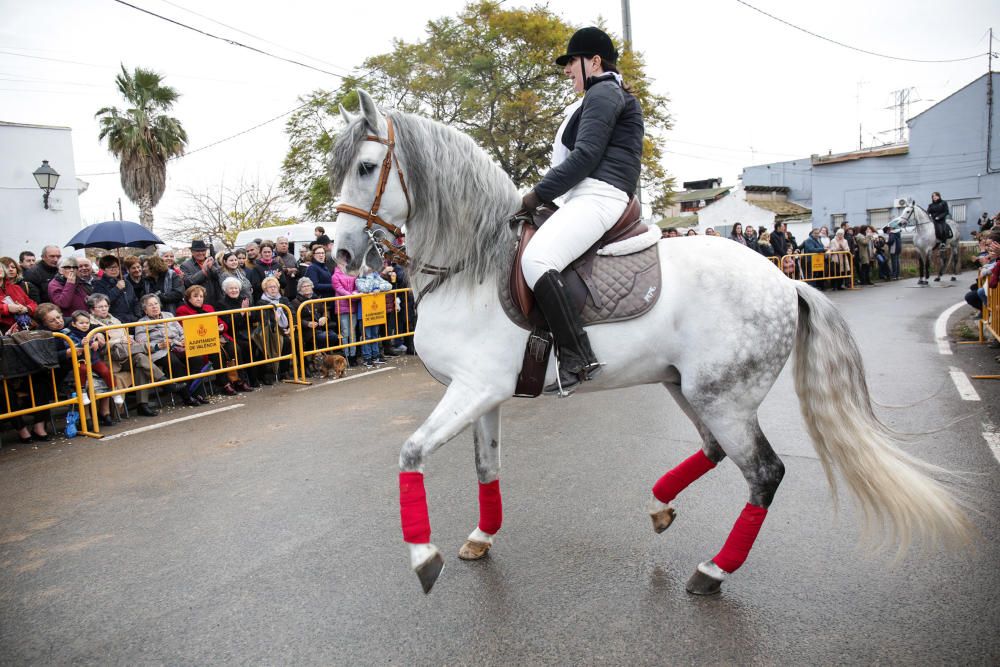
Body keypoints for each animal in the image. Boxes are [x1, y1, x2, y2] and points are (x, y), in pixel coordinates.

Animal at [332, 88, 972, 596]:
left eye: (366, 166)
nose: (341, 255)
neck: (471, 267)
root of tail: (786, 280)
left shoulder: (474, 388)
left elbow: (410, 452)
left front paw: (424, 557)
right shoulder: (482, 393)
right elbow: (486, 467)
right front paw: (480, 537)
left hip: (724, 397)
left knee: (764, 473)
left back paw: (713, 571)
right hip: (687, 386)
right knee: (714, 451)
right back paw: (661, 505)